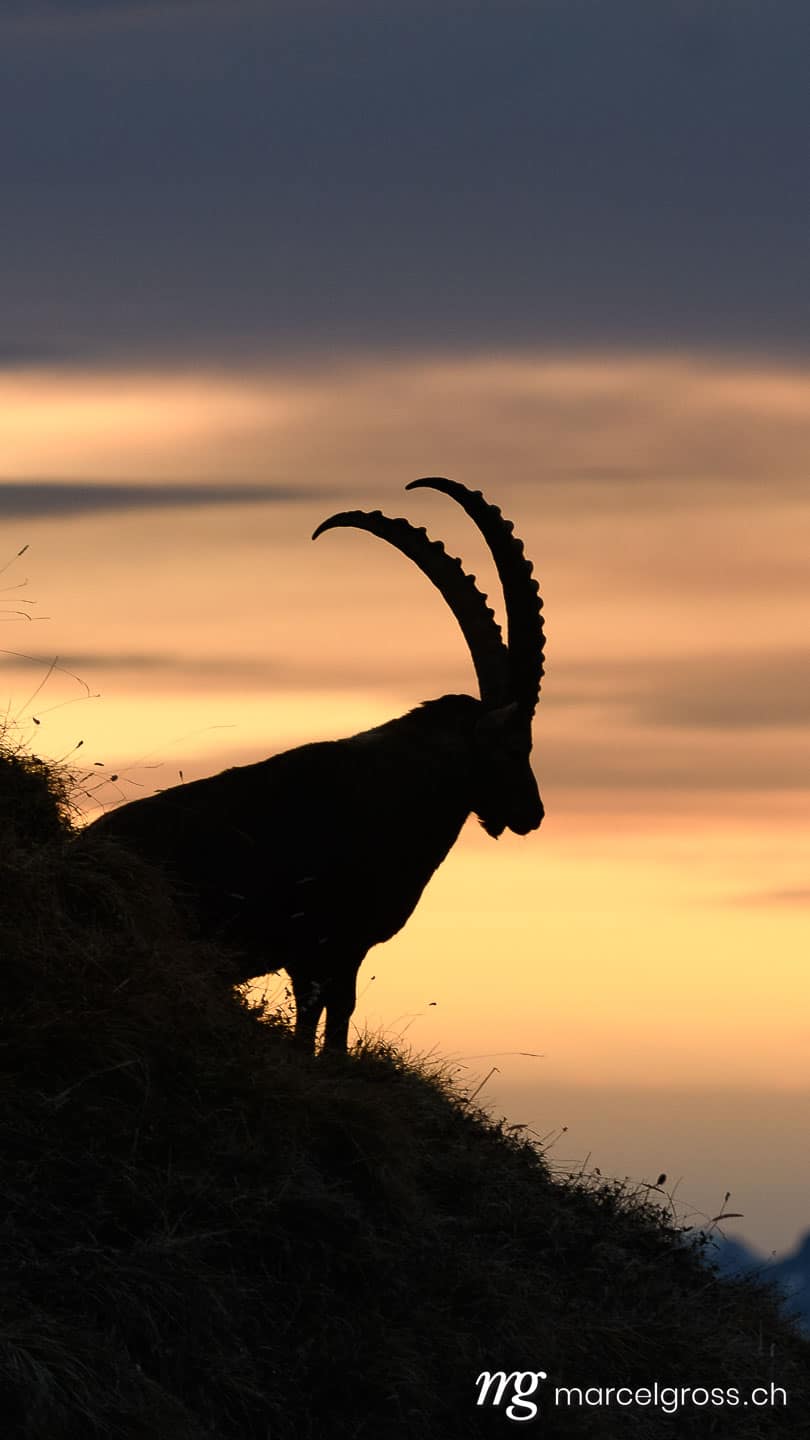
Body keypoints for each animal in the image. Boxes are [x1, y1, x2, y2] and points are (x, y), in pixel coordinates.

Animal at [85, 479, 546, 1052]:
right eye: (515, 745)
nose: (531, 813)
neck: (399, 790)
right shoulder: (319, 941)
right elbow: (319, 1019)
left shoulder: (340, 949)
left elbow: (331, 1014)